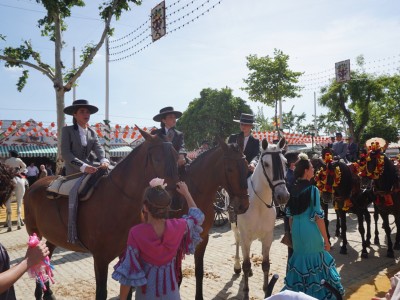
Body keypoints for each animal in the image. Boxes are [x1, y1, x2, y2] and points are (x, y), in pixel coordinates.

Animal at [24, 131, 180, 300]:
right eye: (157, 159)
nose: (175, 201)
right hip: (34, 234)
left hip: (53, 236)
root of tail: (34, 186)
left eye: (177, 157)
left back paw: (47, 292)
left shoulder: (126, 255)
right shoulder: (100, 259)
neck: (116, 199)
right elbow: (101, 292)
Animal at [172, 139, 250, 300]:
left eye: (246, 166)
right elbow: (177, 276)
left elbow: (199, 272)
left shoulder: (203, 238)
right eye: (230, 169)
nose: (243, 205)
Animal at [231, 138, 290, 298]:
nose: (283, 196)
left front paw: (266, 289)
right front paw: (246, 293)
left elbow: (265, 264)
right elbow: (246, 264)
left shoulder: (268, 237)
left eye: (285, 162)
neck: (258, 204)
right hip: (235, 227)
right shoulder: (245, 236)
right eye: (267, 164)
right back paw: (237, 265)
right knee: (237, 242)